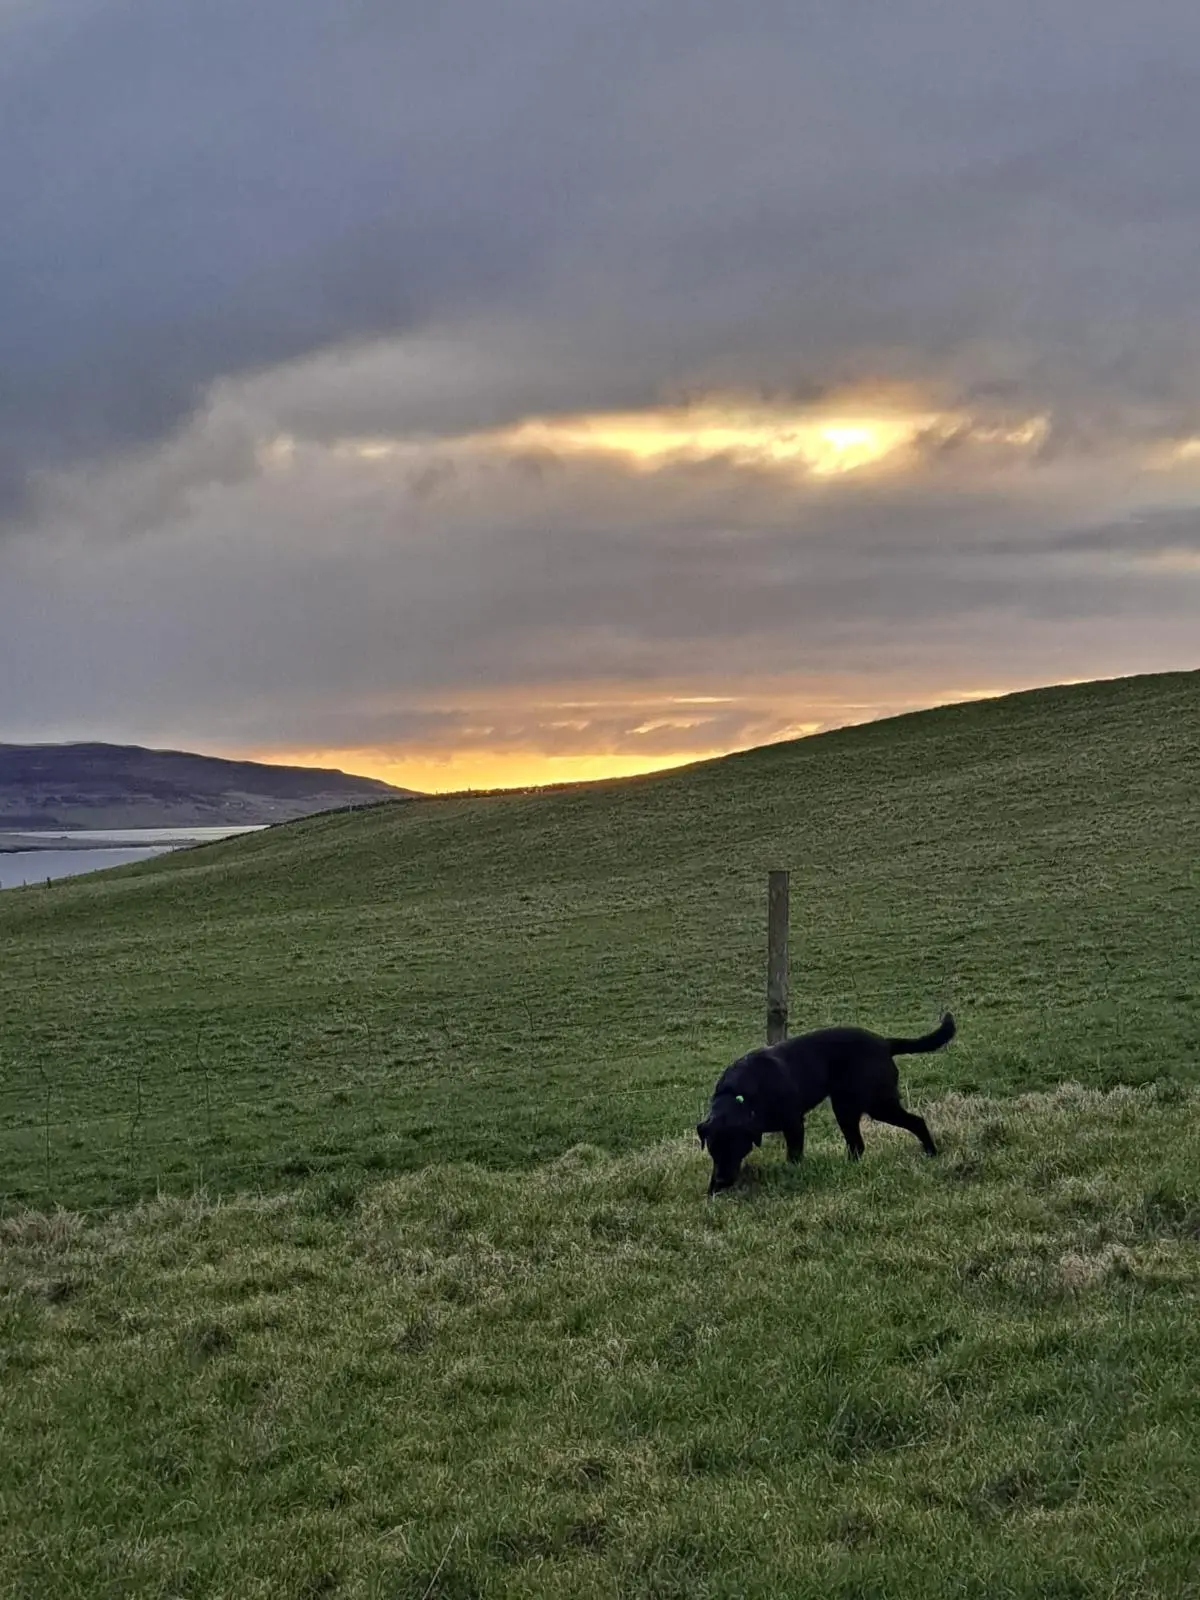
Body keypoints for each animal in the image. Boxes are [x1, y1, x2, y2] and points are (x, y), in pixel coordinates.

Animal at [697, 1013, 955, 1195]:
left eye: (736, 1147)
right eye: (713, 1149)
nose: (722, 1181)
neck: (741, 1094)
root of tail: (884, 1043)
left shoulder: (793, 1124)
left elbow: (794, 1156)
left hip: (877, 1103)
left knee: (916, 1121)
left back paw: (931, 1153)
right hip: (845, 1108)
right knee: (857, 1145)